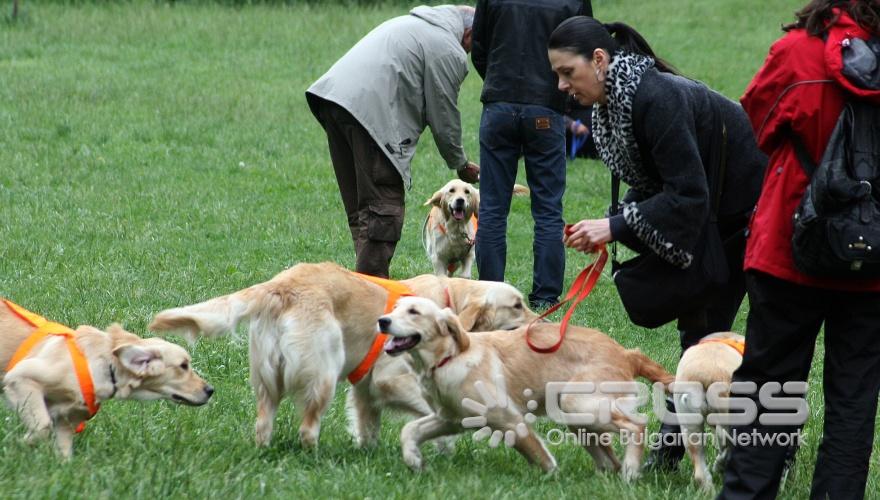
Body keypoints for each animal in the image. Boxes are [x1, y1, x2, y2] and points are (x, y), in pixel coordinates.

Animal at [0, 298, 213, 458]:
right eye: (183, 366)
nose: (210, 390)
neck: (104, 365)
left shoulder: (66, 420)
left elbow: (64, 452)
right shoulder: (20, 377)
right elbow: (43, 426)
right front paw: (19, 445)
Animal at [149, 262, 536, 450]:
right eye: (518, 305)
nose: (541, 322)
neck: (446, 298)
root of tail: (279, 285)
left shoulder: (365, 388)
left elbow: (368, 425)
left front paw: (370, 453)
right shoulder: (391, 379)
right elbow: (433, 414)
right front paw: (445, 444)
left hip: (268, 380)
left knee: (262, 425)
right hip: (323, 372)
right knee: (307, 428)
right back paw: (315, 458)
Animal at [378, 294, 672, 478]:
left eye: (414, 312)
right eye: (394, 309)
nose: (383, 320)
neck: (449, 357)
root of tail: (626, 353)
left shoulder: (509, 418)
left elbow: (538, 455)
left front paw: (553, 478)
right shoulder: (452, 418)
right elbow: (410, 430)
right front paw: (414, 460)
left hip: (577, 403)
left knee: (637, 426)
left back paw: (631, 471)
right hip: (578, 417)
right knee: (610, 460)